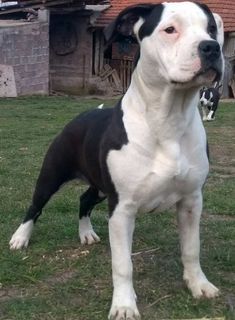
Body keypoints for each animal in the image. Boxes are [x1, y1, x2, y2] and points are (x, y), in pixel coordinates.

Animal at [10, 2, 224, 320]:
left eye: (211, 28)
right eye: (170, 29)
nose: (211, 47)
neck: (169, 119)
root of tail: (82, 115)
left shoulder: (191, 201)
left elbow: (191, 249)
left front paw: (198, 285)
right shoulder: (122, 209)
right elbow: (123, 264)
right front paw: (124, 305)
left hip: (100, 187)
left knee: (84, 200)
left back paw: (86, 233)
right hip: (51, 175)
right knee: (35, 206)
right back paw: (20, 238)